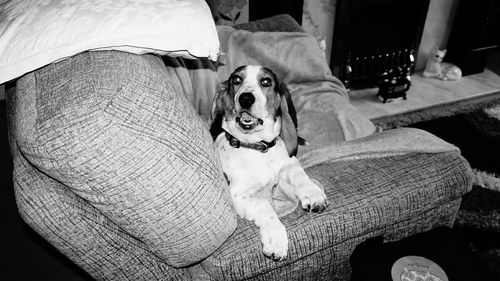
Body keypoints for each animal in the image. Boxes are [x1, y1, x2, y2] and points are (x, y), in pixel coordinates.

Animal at [209, 64, 326, 260]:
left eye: (265, 81)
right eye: (237, 80)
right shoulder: (238, 195)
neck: (257, 148)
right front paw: (275, 238)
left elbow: (299, 174)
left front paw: (313, 193)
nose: (245, 98)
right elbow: (265, 207)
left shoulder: (288, 163)